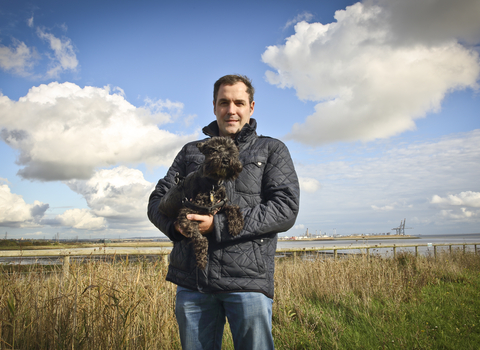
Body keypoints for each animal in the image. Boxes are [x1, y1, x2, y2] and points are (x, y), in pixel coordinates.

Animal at [159, 136, 244, 268]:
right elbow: (200, 238)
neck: (212, 185)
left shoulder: (219, 205)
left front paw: (236, 224)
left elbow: (233, 207)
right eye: (213, 150)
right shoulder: (186, 214)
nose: (225, 160)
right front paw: (201, 258)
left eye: (231, 150)